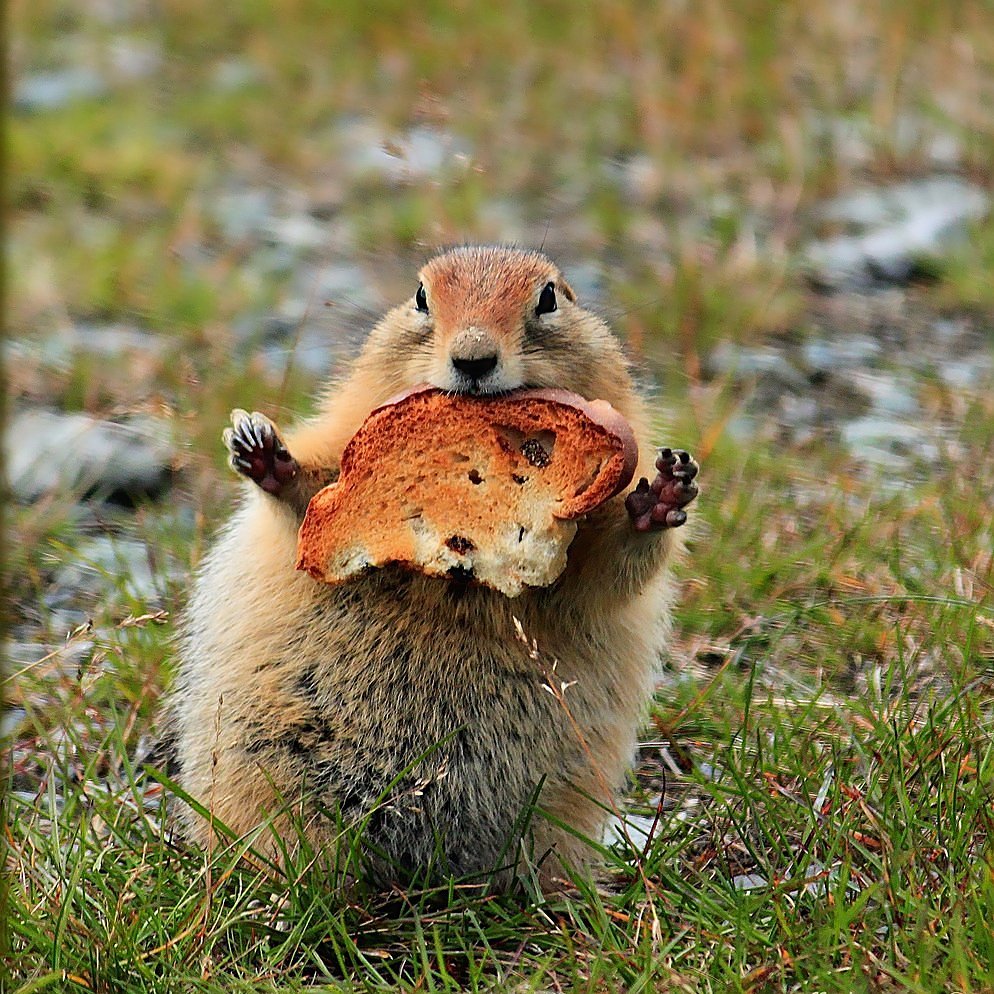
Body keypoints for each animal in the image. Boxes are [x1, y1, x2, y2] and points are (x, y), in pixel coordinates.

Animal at [167, 244, 696, 888]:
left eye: (549, 297)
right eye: (420, 296)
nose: (473, 357)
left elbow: (604, 574)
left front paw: (661, 496)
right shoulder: (345, 441)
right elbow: (312, 493)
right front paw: (264, 450)